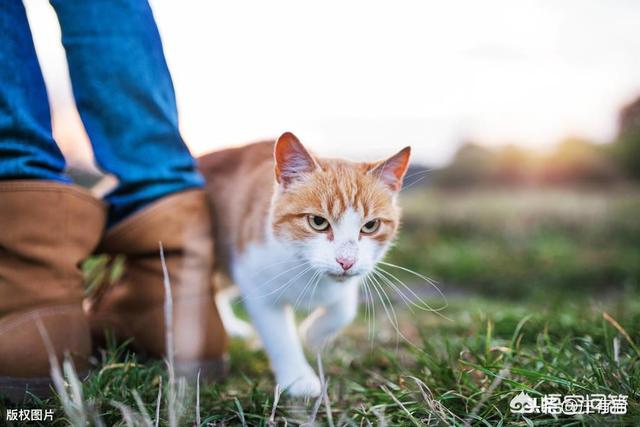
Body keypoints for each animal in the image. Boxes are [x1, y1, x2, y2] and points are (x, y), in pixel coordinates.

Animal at [199, 134, 410, 398]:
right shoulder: (256, 285)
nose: (346, 261)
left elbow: (343, 310)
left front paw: (312, 334)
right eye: (318, 222)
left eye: (370, 226)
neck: (305, 268)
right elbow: (280, 337)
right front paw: (298, 378)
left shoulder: (348, 283)